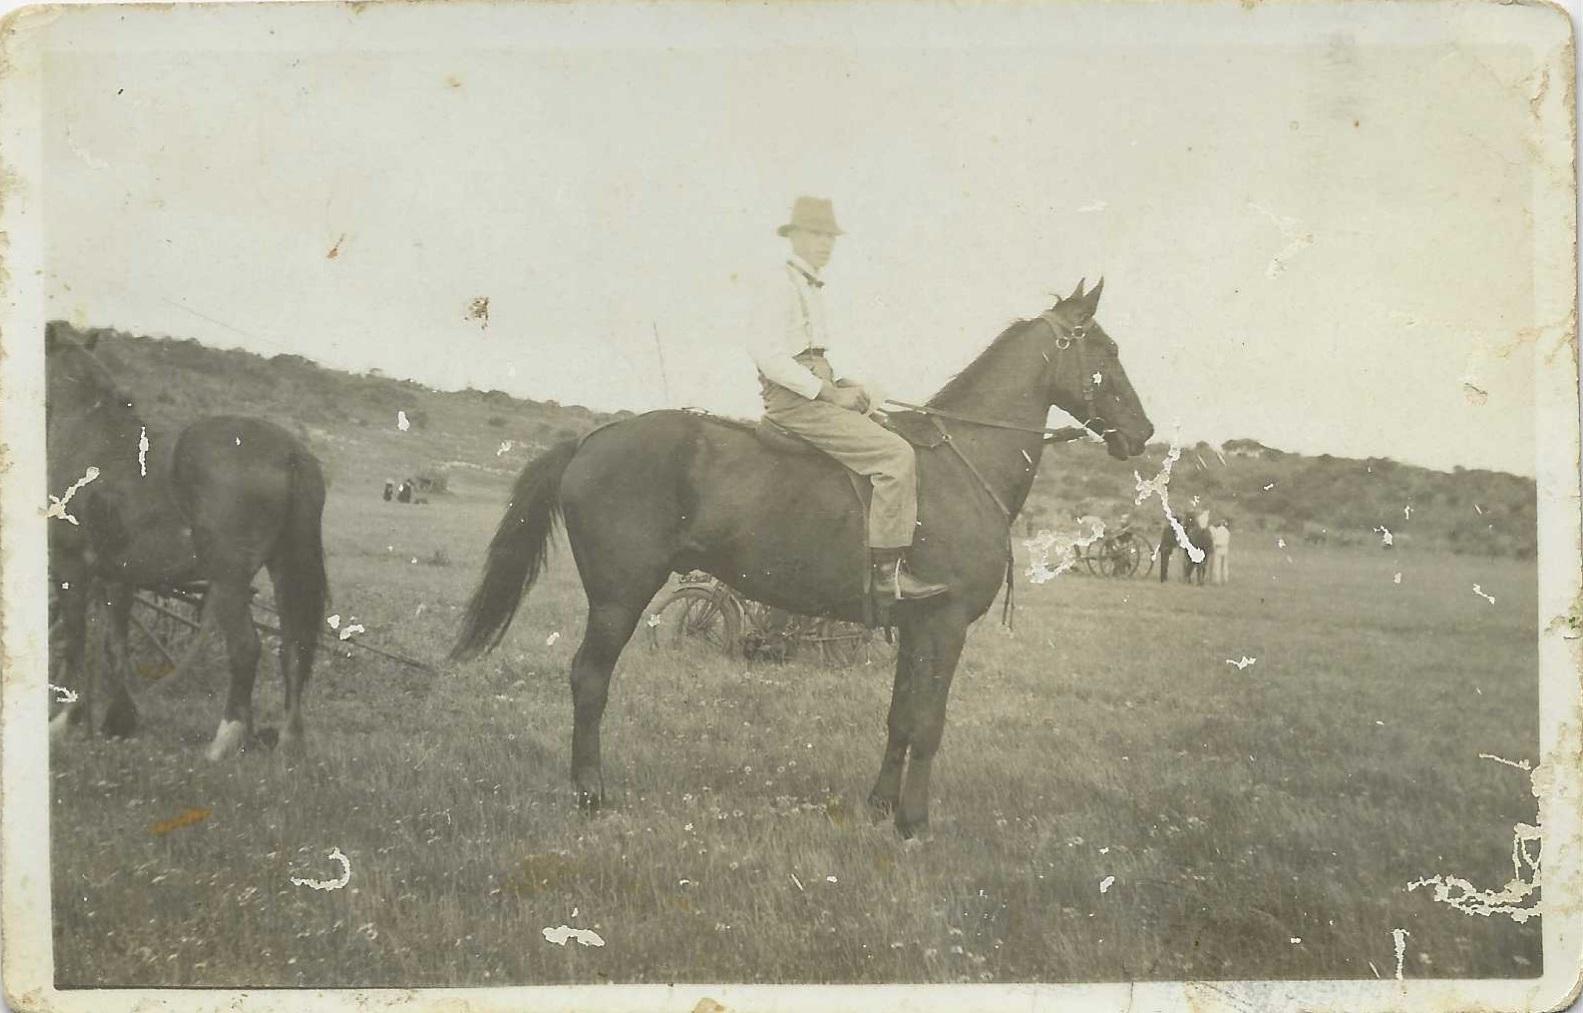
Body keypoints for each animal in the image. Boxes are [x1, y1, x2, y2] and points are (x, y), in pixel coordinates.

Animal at [44, 324, 327, 759]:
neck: (87, 430)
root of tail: (291, 451)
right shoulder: (118, 577)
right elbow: (113, 645)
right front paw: (117, 721)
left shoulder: (70, 566)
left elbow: (74, 641)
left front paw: (63, 723)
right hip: (284, 571)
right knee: (293, 649)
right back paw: (288, 742)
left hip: (228, 579)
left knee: (246, 648)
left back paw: (224, 741)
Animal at [452, 281, 1158, 835]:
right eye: (1107, 350)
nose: (1144, 433)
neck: (961, 464)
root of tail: (589, 440)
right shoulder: (946, 625)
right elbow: (929, 723)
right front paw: (914, 822)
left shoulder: (914, 628)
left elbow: (900, 718)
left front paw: (879, 806)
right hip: (619, 596)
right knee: (589, 679)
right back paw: (592, 794)